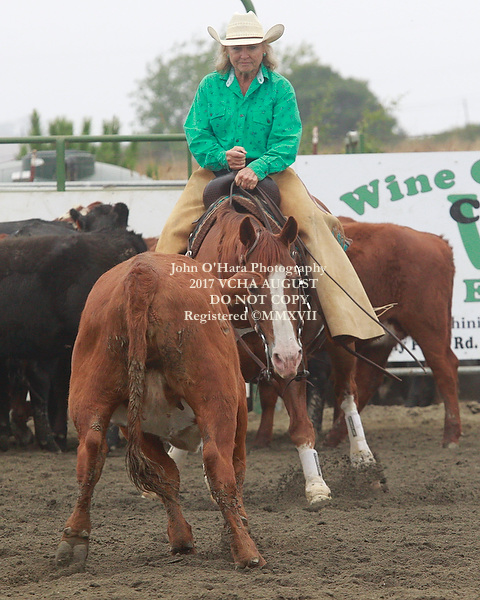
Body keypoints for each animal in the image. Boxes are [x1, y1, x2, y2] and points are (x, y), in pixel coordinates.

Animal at [55, 253, 265, 569]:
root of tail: (143, 274)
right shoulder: (238, 408)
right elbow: (234, 469)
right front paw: (236, 525)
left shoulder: (135, 428)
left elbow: (165, 476)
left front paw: (181, 538)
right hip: (217, 399)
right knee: (218, 462)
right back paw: (246, 551)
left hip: (90, 393)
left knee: (90, 454)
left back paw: (74, 537)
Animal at [309, 218, 461, 449]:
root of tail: (437, 241)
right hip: (383, 339)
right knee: (367, 380)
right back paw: (337, 435)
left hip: (428, 327)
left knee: (445, 368)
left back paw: (450, 437)